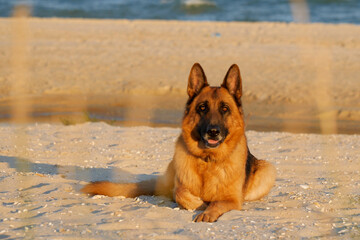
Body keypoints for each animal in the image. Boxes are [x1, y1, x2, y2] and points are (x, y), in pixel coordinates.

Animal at [83, 62, 276, 222]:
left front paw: (207, 211)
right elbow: (181, 194)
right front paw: (201, 204)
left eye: (224, 108)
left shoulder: (233, 199)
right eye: (202, 108)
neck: (208, 160)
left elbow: (217, 203)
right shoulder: (181, 186)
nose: (213, 132)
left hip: (268, 169)